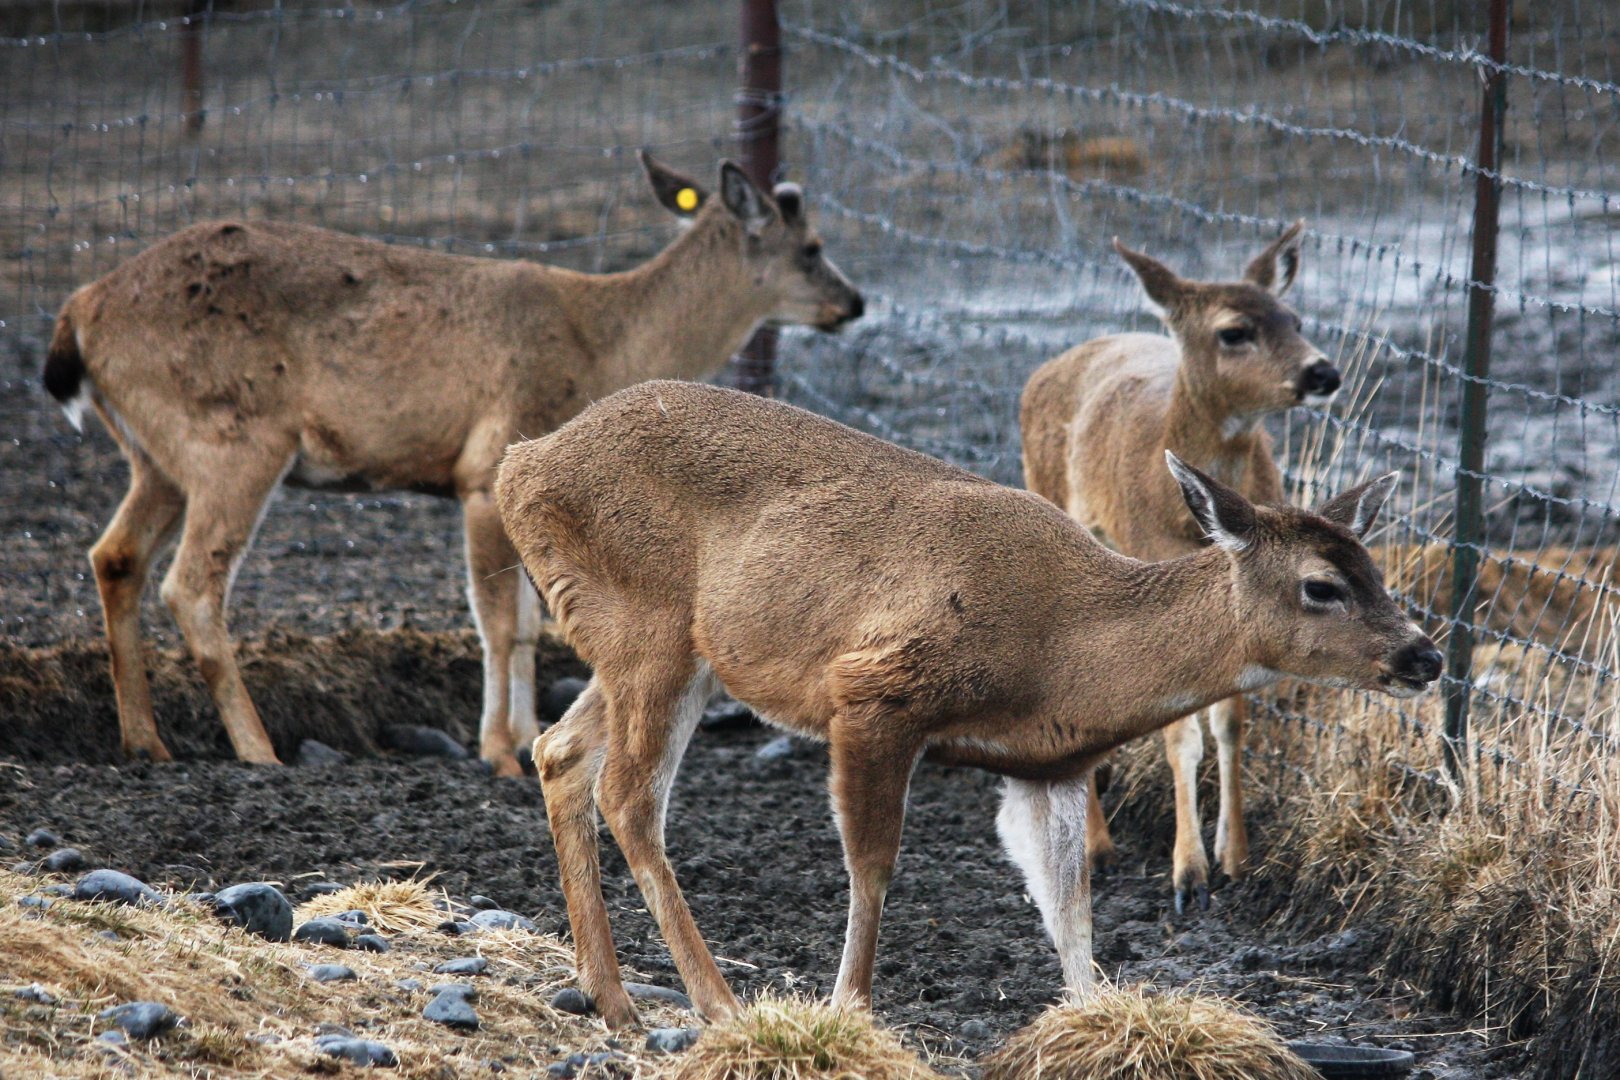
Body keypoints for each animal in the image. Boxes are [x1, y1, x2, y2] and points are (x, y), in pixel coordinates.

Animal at [41, 153, 863, 776]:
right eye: (812, 246)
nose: (855, 303)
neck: (605, 342)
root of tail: (79, 311)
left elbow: (532, 622)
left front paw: (526, 738)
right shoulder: (485, 467)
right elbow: (497, 622)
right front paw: (498, 750)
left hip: (156, 455)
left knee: (116, 556)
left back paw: (145, 741)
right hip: (233, 439)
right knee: (192, 585)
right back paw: (258, 750)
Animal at [493, 379, 1441, 1028]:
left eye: (1376, 569)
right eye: (1321, 585)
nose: (1424, 655)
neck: (1064, 649)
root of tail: (519, 464)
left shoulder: (1049, 764)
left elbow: (1069, 908)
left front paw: (1093, 1022)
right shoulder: (874, 690)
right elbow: (874, 866)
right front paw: (848, 1010)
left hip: (644, 645)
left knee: (559, 753)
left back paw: (611, 996)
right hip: (651, 625)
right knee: (629, 796)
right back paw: (718, 1004)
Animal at [1019, 222, 1341, 913]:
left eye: (1296, 318)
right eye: (1234, 331)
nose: (1322, 370)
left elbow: (1231, 720)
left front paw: (1237, 857)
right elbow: (1180, 730)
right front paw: (1187, 873)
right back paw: (1097, 848)